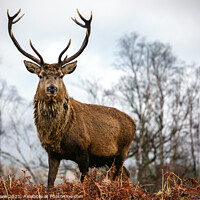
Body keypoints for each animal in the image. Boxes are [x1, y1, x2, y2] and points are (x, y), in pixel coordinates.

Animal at [7, 9, 136, 188]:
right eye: (41, 75)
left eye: (61, 75)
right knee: (126, 174)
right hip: (110, 158)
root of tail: (133, 122)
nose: (52, 88)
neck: (58, 133)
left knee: (117, 176)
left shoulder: (84, 150)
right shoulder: (52, 153)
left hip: (123, 150)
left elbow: (84, 183)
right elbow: (50, 182)